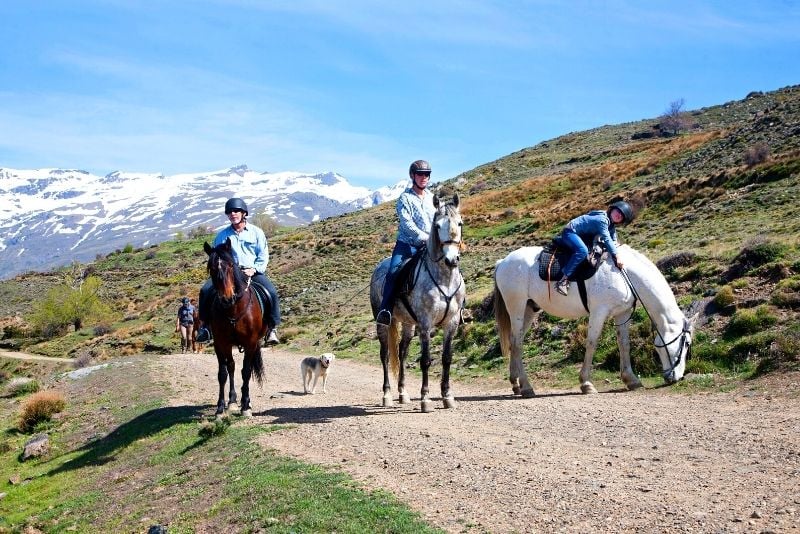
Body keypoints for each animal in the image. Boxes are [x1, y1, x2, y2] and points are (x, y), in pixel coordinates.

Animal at [205, 239, 268, 418]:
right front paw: (220, 408)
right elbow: (223, 373)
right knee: (231, 366)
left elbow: (246, 372)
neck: (233, 309)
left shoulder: (250, 342)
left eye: (231, 265)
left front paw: (246, 406)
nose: (227, 298)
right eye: (211, 268)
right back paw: (232, 401)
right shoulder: (220, 343)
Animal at [490, 244, 696, 398]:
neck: (624, 274)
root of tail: (503, 262)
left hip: (529, 309)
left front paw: (631, 380)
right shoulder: (599, 312)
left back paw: (515, 384)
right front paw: (586, 383)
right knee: (518, 344)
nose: (676, 378)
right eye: (686, 343)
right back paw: (526, 387)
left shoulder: (622, 313)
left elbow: (624, 344)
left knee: (514, 342)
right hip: (516, 307)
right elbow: (591, 343)